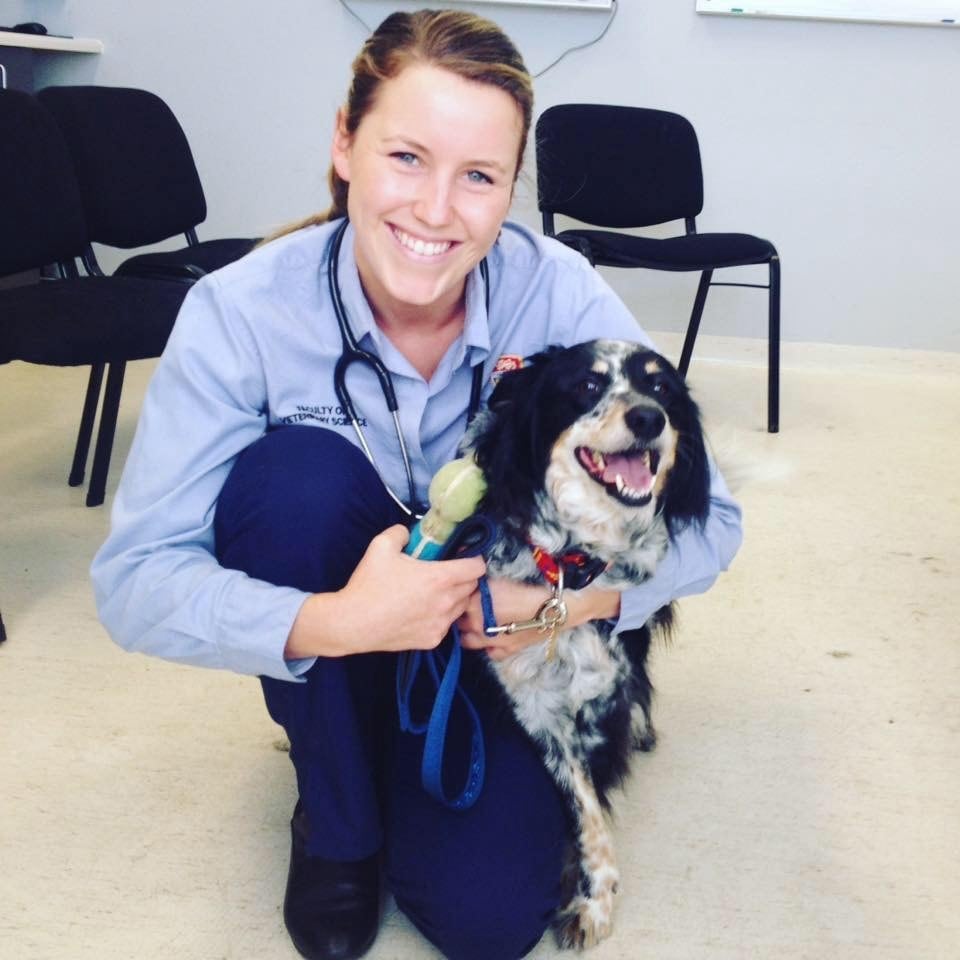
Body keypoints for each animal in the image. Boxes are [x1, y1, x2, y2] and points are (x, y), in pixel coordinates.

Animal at [462, 338, 708, 944]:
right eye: (587, 386)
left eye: (661, 386)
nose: (648, 418)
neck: (571, 566)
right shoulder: (534, 706)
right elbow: (584, 810)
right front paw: (589, 895)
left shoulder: (603, 698)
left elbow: (593, 801)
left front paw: (588, 899)